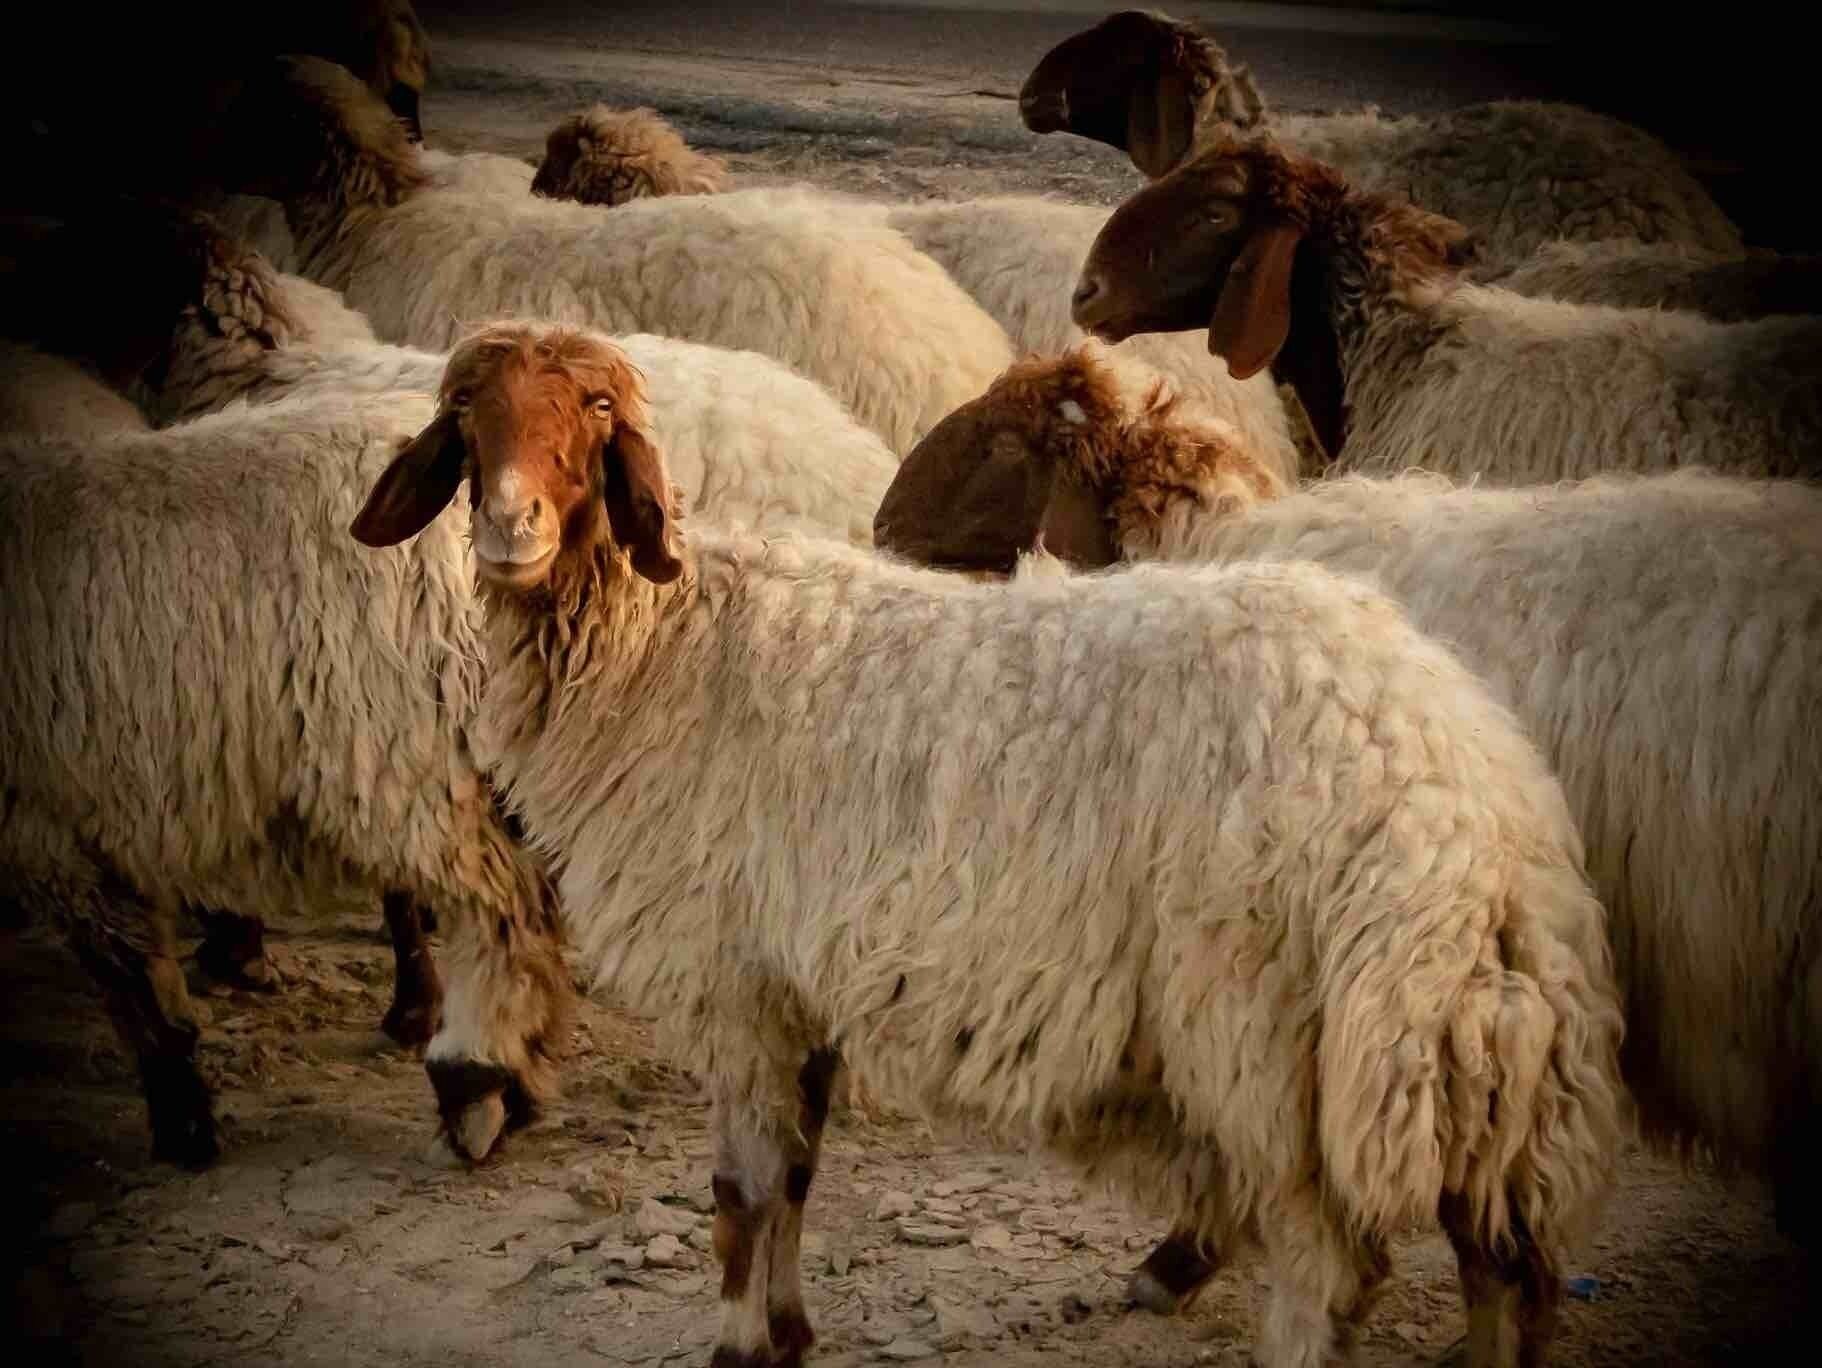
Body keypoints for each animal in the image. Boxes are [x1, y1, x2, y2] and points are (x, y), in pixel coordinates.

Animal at [0, 389, 573, 1166]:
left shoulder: (49, 826)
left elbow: (131, 978)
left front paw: (184, 1126)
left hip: (405, 752)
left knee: (504, 904)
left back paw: (476, 1084)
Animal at [352, 321, 1624, 1368]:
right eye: (466, 414)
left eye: (597, 412)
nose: (509, 528)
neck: (663, 646)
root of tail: (1462, 802)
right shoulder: (805, 980)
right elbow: (797, 1177)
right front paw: (790, 1333)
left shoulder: (739, 981)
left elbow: (738, 1195)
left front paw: (736, 1348)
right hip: (1450, 1057)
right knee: (1503, 1265)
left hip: (1275, 1040)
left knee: (1328, 1264)